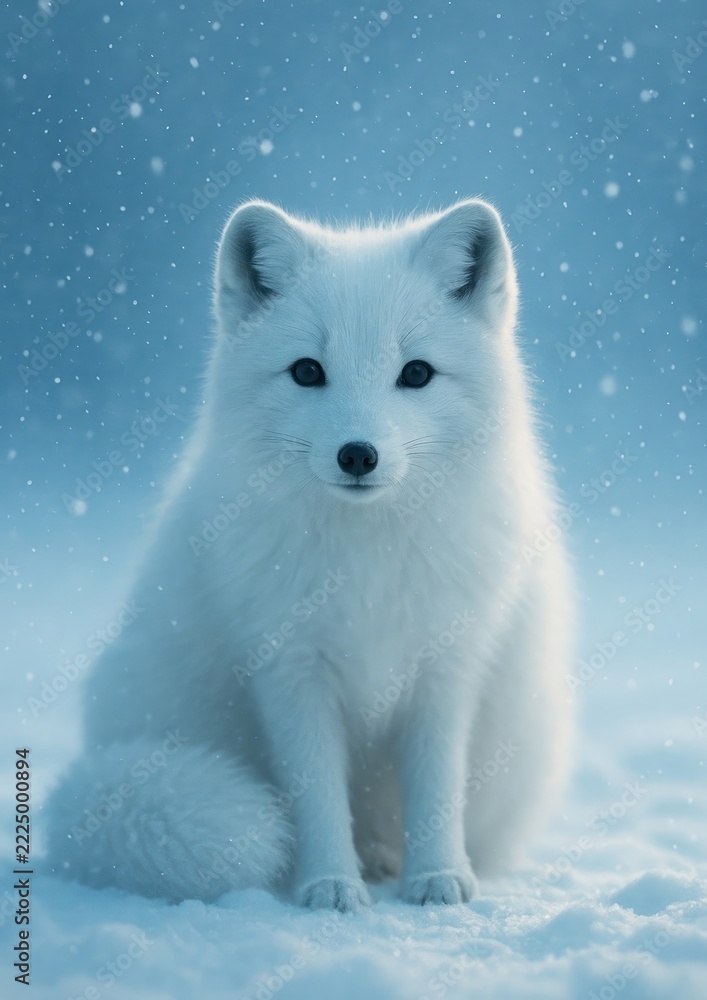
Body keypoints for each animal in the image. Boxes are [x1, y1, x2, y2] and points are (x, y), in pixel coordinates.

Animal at [45, 199, 573, 911]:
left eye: (416, 373)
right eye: (307, 371)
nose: (357, 454)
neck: (368, 562)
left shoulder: (447, 665)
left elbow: (436, 787)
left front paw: (436, 877)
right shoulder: (289, 669)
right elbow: (317, 795)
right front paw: (328, 886)